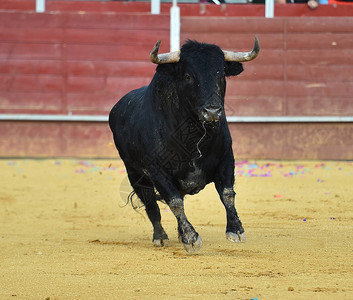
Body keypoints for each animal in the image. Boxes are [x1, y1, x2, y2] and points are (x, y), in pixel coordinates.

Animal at [108, 38, 260, 253]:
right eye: (188, 76)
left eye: (221, 74)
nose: (212, 111)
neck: (193, 136)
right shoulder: (157, 170)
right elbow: (175, 202)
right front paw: (191, 238)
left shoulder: (226, 158)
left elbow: (227, 193)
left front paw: (235, 230)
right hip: (134, 173)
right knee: (151, 204)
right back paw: (161, 237)